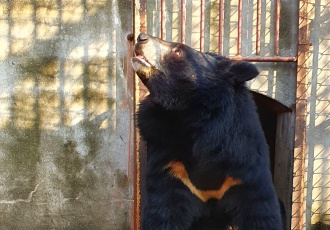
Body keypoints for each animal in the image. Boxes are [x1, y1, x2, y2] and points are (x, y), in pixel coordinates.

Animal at [131, 32, 284, 230]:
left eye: (178, 51)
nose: (141, 37)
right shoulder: (172, 166)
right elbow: (164, 211)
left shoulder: (243, 164)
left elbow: (259, 210)